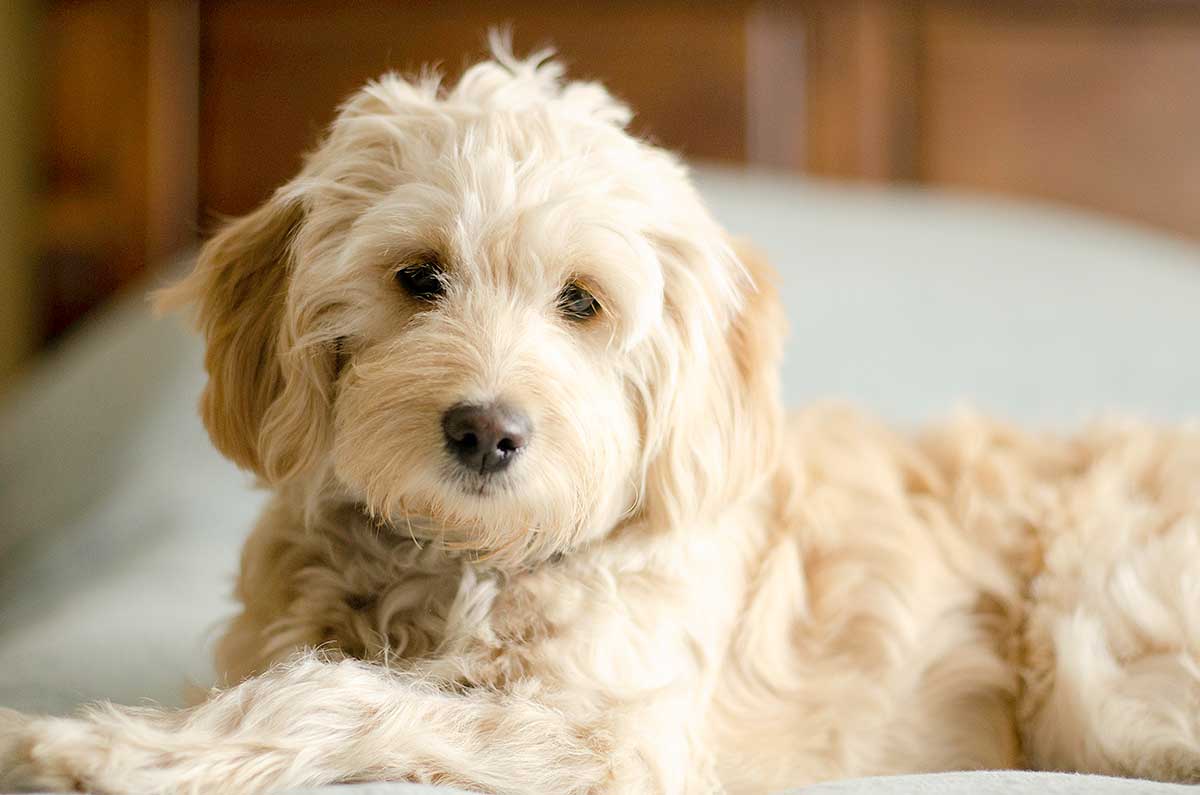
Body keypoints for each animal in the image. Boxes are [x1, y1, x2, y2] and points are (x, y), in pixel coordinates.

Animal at [2, 40, 1200, 795]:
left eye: (581, 301)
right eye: (418, 277)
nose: (486, 430)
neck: (461, 564)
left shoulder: (599, 732)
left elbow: (340, 697)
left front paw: (106, 747)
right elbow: (310, 670)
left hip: (1099, 659)